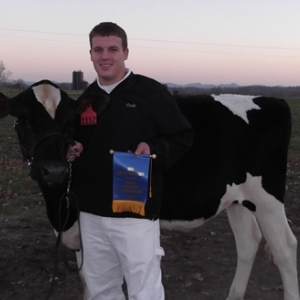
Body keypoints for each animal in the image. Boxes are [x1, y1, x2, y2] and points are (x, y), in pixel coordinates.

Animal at [0, 80, 298, 300]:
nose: (54, 170)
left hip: (267, 199)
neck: (58, 206)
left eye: (70, 122)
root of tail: (272, 100)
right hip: (239, 199)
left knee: (285, 248)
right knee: (248, 242)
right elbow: (88, 277)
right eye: (23, 120)